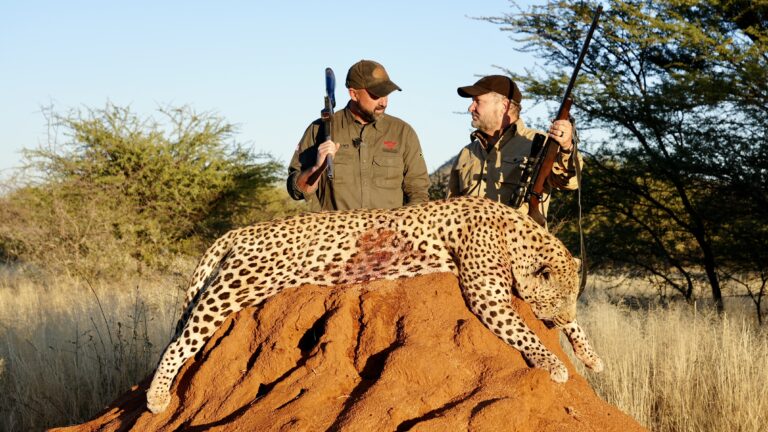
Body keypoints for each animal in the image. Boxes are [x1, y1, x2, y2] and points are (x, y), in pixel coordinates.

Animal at [146, 196, 603, 414]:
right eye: (559, 297)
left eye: (572, 298)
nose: (562, 314)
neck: (516, 232)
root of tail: (240, 231)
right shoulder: (487, 295)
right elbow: (523, 331)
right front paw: (554, 363)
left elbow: (572, 329)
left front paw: (590, 356)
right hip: (239, 284)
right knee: (181, 339)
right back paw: (156, 397)